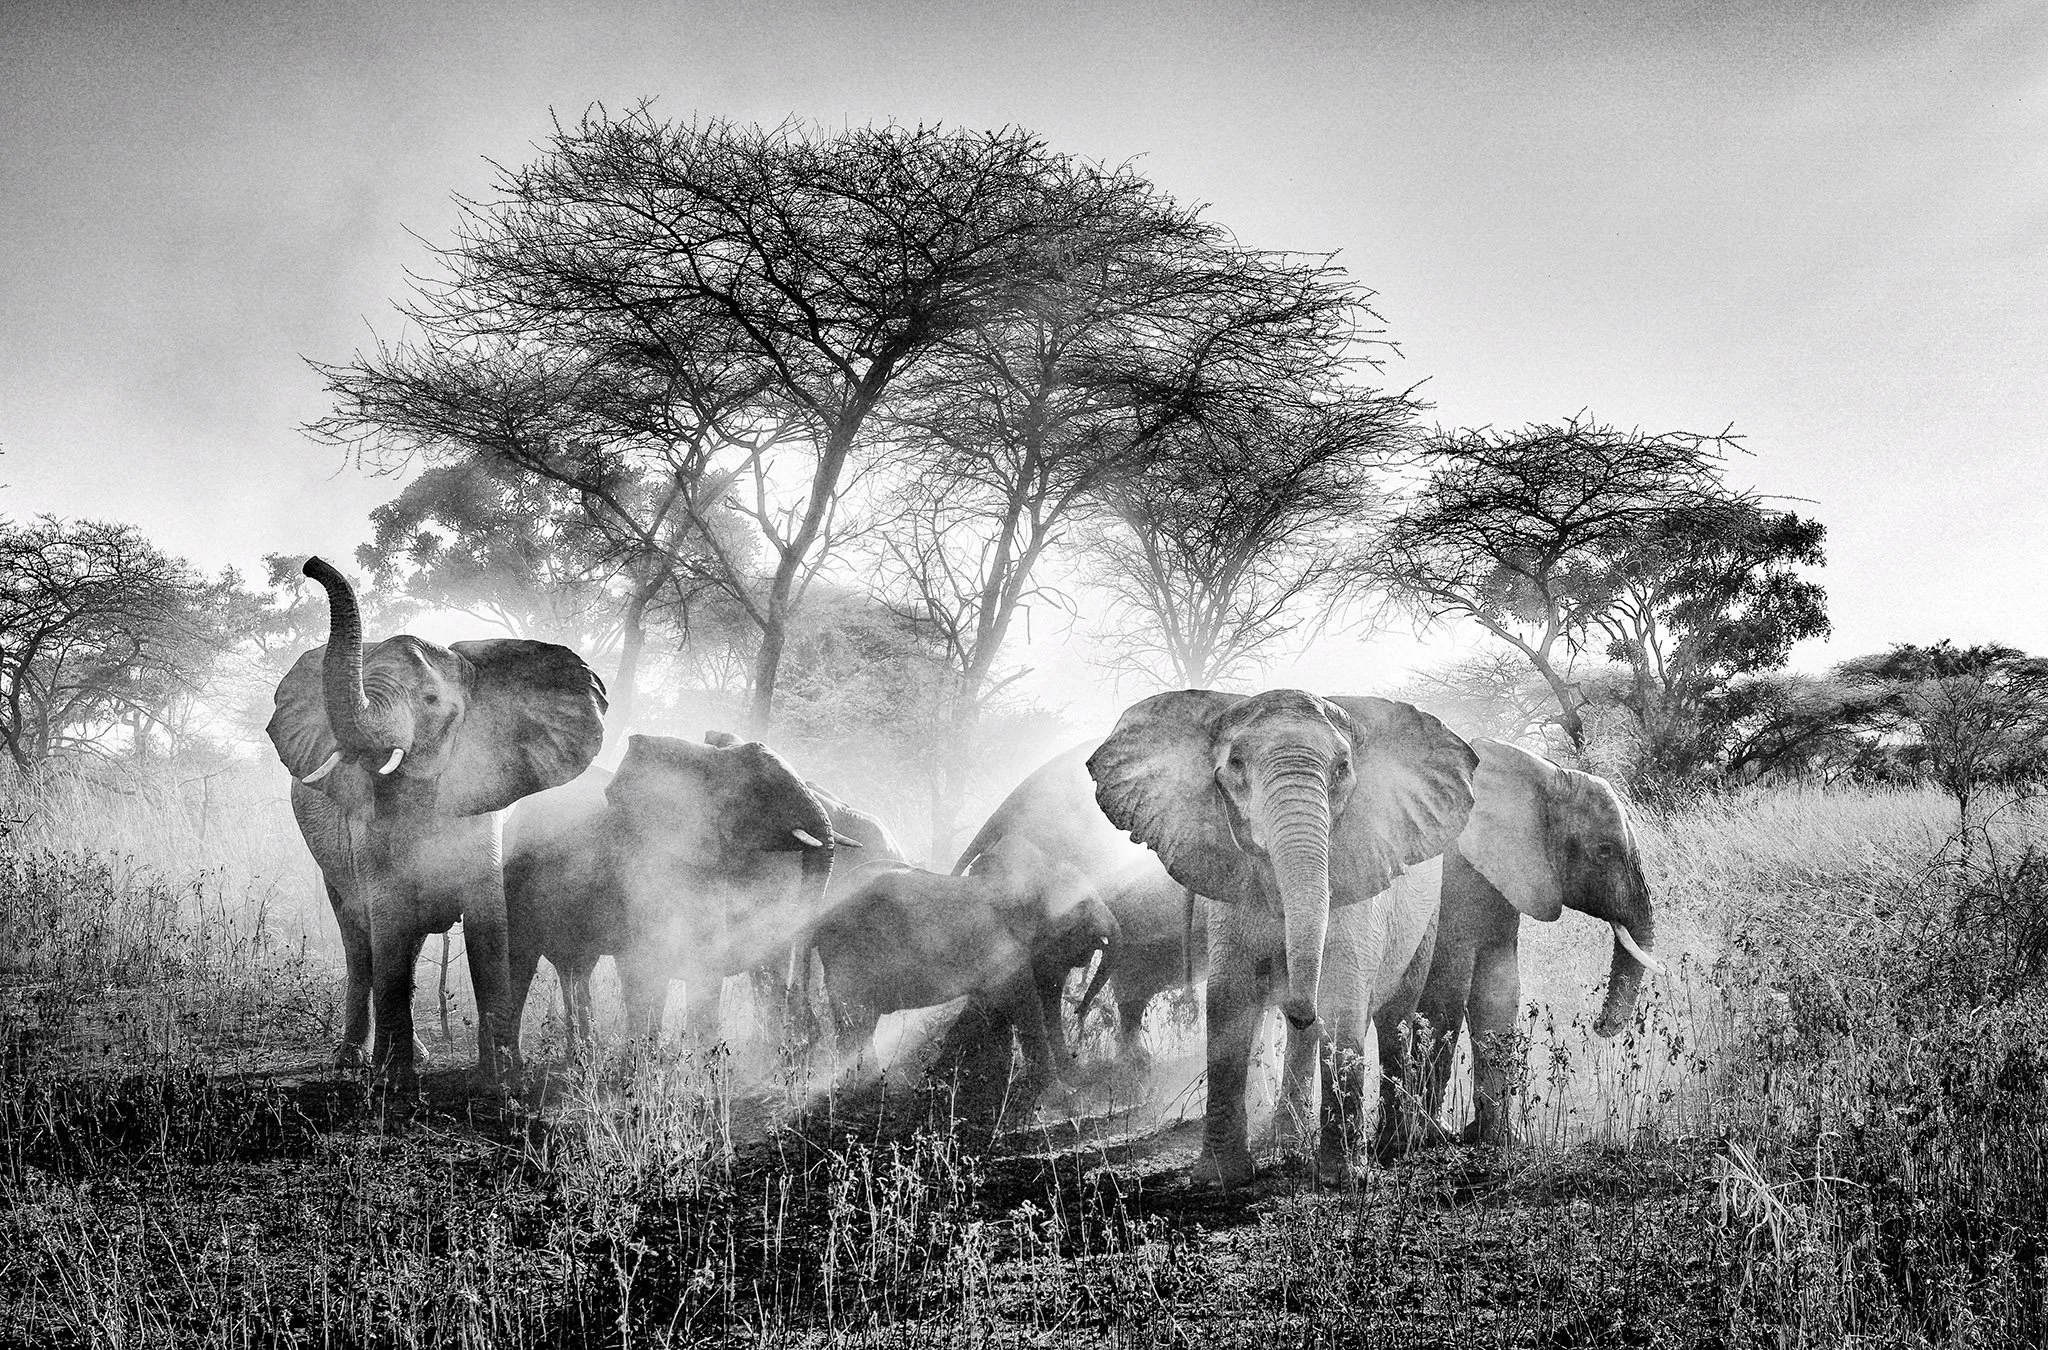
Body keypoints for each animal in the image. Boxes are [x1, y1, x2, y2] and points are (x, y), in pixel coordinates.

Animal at [265, 557, 608, 1089]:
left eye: (429, 700)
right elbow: (386, 921)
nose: (311, 565)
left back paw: (419, 1056)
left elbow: (488, 925)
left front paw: (501, 1077)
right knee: (359, 940)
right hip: (328, 865)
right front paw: (393, 1078)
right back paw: (355, 1059)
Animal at [502, 732, 864, 1051]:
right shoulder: (641, 870)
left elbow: (707, 965)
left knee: (575, 966)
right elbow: (645, 967)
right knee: (520, 962)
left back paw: (580, 1058)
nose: (807, 1037)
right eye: (762, 791)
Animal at [806, 849, 1119, 1100]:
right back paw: (865, 1092)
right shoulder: (999, 946)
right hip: (850, 951)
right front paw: (1061, 1093)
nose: (1080, 1010)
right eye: (1083, 905)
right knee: (856, 1019)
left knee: (859, 1022)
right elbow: (1025, 1004)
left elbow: (995, 1006)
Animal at [1088, 688, 1477, 1188]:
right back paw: (1288, 1137)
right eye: (1235, 763)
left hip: (1427, 916)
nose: (1298, 1007)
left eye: (1343, 768)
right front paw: (1219, 1180)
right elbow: (1229, 1000)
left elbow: (1343, 998)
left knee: (1394, 1018)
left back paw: (1393, 1147)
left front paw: (1341, 1180)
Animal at [1413, 738, 1663, 1146]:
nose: (1599, 1027)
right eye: (1604, 850)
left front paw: (1498, 1140)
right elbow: (1446, 990)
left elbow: (1498, 988)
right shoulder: (1450, 880)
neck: (1542, 773)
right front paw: (1432, 1138)